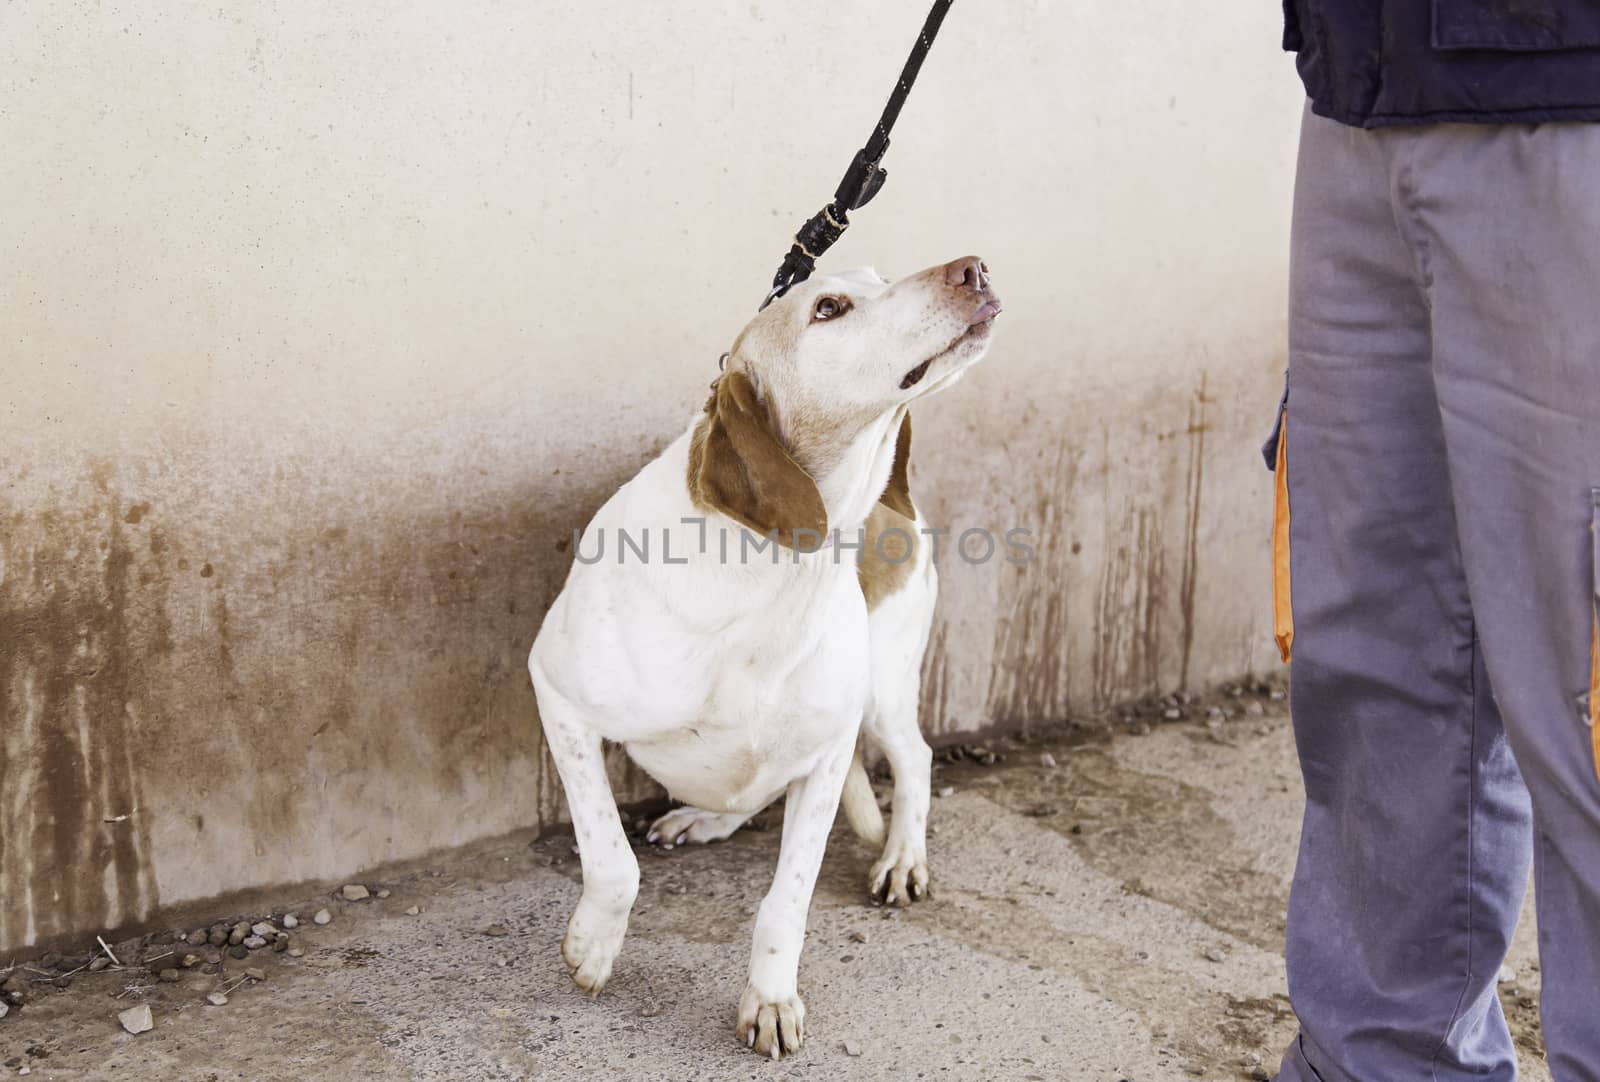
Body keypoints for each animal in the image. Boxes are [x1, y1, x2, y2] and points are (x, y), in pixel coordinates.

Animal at [524, 256, 998, 1056]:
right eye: (829, 308)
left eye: (881, 275)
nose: (974, 267)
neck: (774, 564)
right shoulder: (557, 694)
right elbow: (612, 858)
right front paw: (593, 946)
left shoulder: (829, 752)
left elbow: (788, 902)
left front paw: (770, 999)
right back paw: (704, 820)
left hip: (881, 691)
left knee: (916, 758)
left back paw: (903, 855)